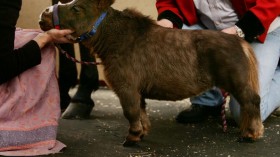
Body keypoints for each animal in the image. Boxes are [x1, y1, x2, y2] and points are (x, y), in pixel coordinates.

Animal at [40, 0, 264, 146]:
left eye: (76, 8)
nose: (44, 14)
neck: (115, 39)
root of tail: (239, 41)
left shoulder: (126, 87)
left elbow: (131, 112)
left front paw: (132, 138)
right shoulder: (136, 91)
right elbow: (141, 112)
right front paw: (141, 133)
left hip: (238, 83)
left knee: (252, 102)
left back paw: (251, 134)